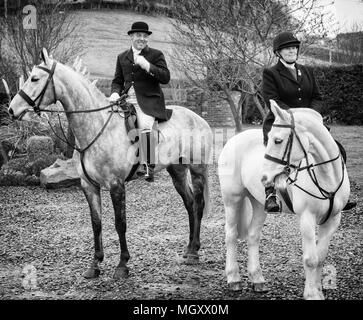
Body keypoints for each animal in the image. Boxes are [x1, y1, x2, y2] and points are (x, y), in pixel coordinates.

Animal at [218, 100, 352, 300]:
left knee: (253, 236)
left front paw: (317, 290)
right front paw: (311, 294)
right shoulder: (307, 218)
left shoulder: (333, 219)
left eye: (278, 140)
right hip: (232, 199)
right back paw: (234, 278)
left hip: (259, 204)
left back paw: (257, 279)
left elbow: (320, 257)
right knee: (231, 235)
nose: (264, 177)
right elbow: (311, 259)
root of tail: (235, 138)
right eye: (271, 139)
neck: (326, 175)